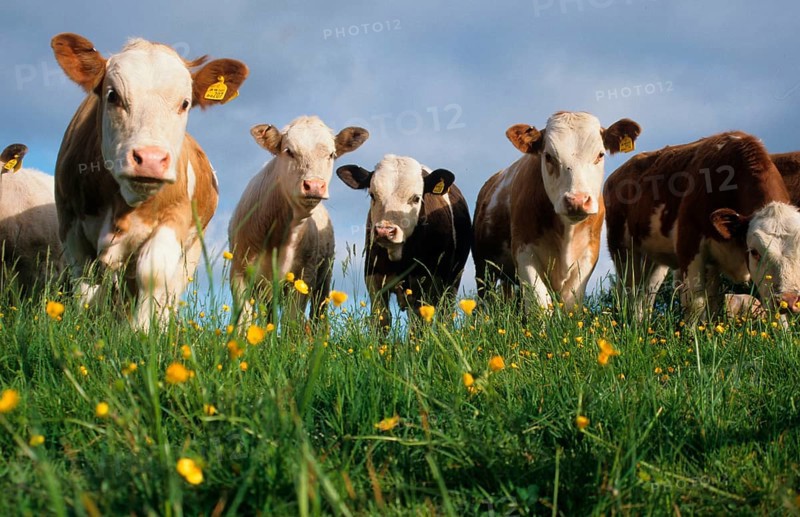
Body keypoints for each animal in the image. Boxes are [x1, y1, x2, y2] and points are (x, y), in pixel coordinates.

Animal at [51, 33, 248, 331]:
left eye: (185, 103)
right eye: (113, 95)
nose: (151, 159)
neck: (123, 204)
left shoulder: (174, 218)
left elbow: (153, 273)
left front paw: (142, 331)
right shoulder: (70, 224)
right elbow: (86, 285)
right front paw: (86, 329)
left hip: (191, 251)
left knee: (170, 289)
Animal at [228, 116, 369, 322]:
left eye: (332, 154)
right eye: (289, 151)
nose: (314, 185)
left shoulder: (303, 278)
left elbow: (292, 321)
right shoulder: (239, 273)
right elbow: (243, 322)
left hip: (324, 276)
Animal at [336, 155, 472, 328]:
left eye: (416, 198)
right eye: (373, 195)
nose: (385, 231)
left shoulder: (423, 282)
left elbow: (417, 325)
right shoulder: (374, 280)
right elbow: (382, 320)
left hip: (452, 282)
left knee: (445, 315)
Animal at [473, 111, 641, 312]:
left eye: (600, 154)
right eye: (548, 156)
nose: (577, 200)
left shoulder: (588, 256)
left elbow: (570, 305)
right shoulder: (524, 252)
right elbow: (540, 305)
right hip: (483, 266)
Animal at [604, 131, 800, 322]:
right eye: (754, 252)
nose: (789, 301)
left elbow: (715, 305)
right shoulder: (689, 244)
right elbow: (695, 304)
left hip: (655, 259)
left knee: (645, 297)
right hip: (622, 251)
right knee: (628, 293)